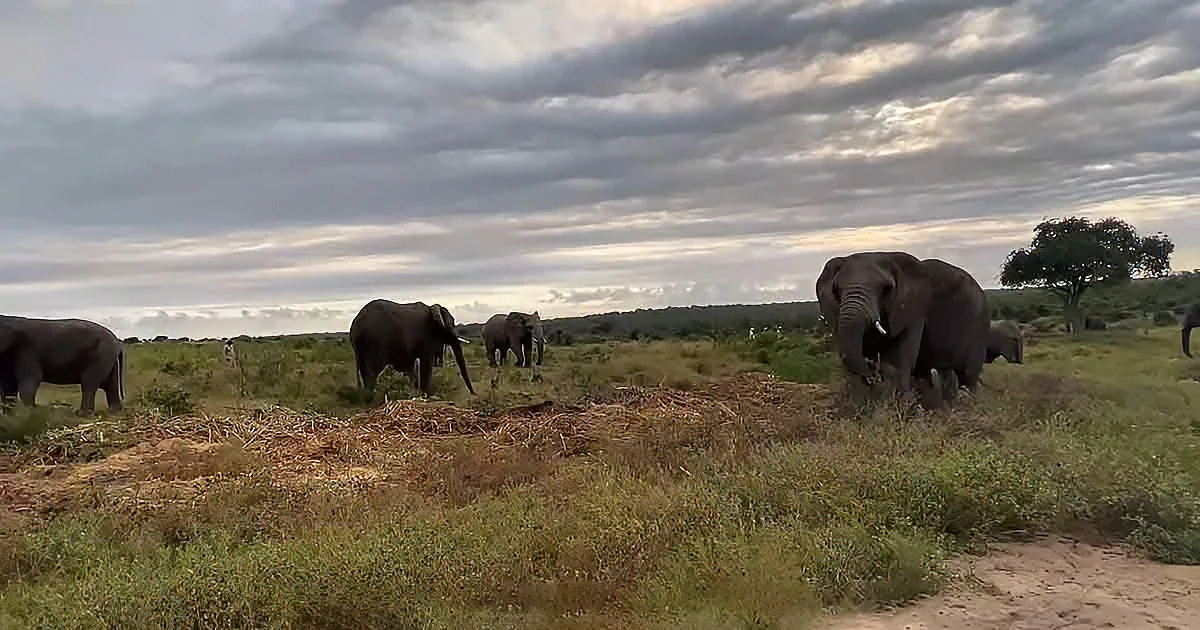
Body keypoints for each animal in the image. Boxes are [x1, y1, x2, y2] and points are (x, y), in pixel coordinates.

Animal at [815, 251, 990, 408]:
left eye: (886, 288)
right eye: (836, 289)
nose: (872, 365)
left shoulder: (915, 308)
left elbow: (902, 355)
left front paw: (904, 405)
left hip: (978, 323)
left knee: (967, 374)